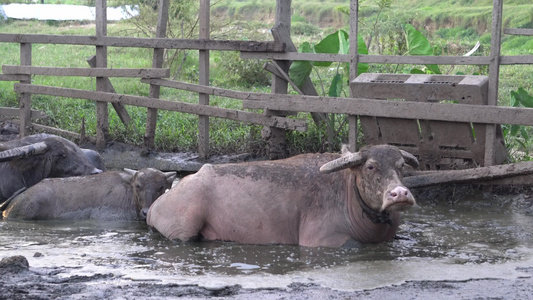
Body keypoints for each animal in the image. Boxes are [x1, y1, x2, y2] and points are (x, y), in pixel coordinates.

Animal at [148, 144, 418, 247]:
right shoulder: (320, 240)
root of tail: (155, 206)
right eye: (370, 167)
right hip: (183, 230)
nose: (400, 194)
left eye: (401, 166)